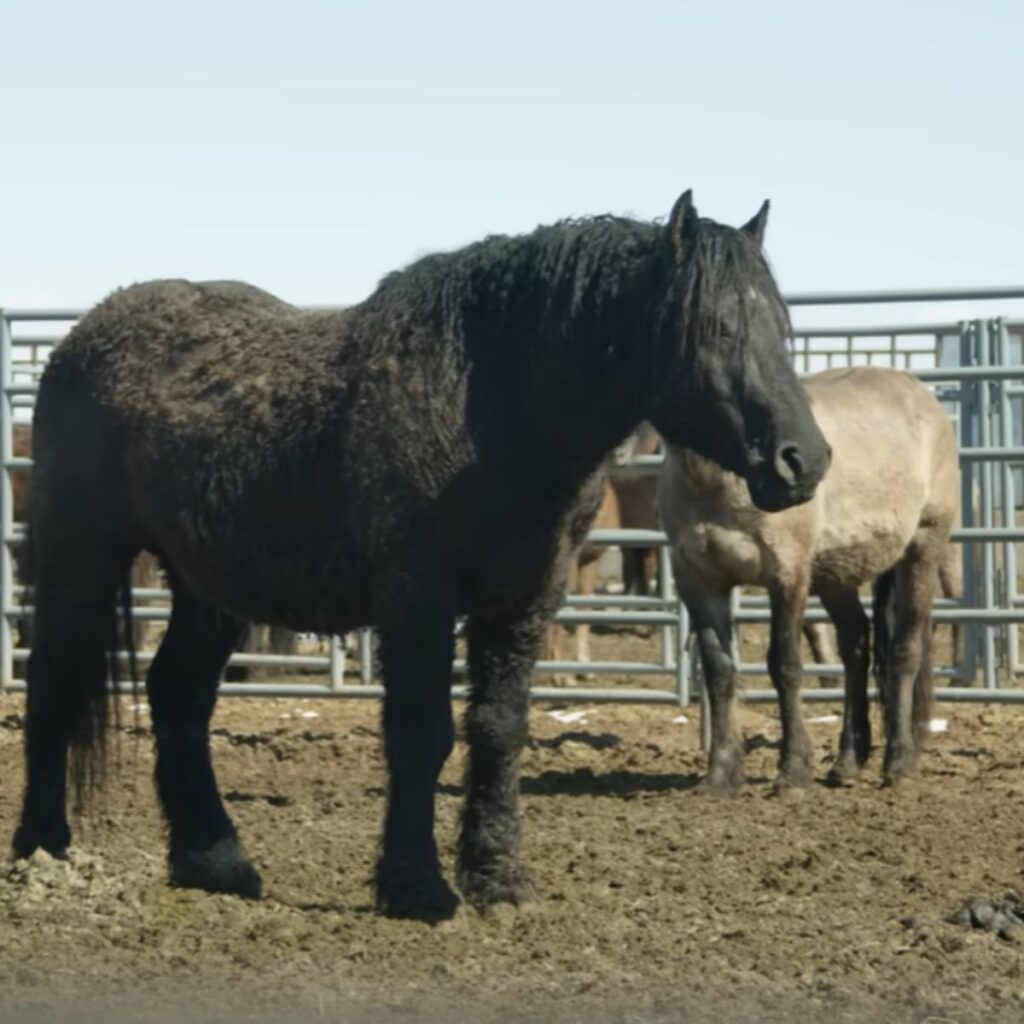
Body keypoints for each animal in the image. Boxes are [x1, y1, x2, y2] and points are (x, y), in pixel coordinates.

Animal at [13, 190, 830, 921]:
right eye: (715, 327)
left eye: (779, 326)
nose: (804, 460)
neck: (488, 405)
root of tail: (81, 338)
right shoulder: (417, 598)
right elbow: (421, 734)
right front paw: (416, 887)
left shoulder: (526, 599)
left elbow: (499, 729)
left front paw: (498, 878)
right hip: (81, 558)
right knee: (53, 684)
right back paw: (43, 849)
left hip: (207, 584)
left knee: (177, 694)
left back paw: (214, 861)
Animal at [659, 366, 959, 792]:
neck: (716, 481)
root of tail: (921, 393)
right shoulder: (699, 584)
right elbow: (720, 671)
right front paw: (720, 773)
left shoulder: (788, 575)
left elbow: (785, 664)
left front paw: (793, 770)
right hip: (837, 577)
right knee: (856, 647)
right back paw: (848, 761)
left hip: (923, 548)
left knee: (905, 651)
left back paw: (899, 762)